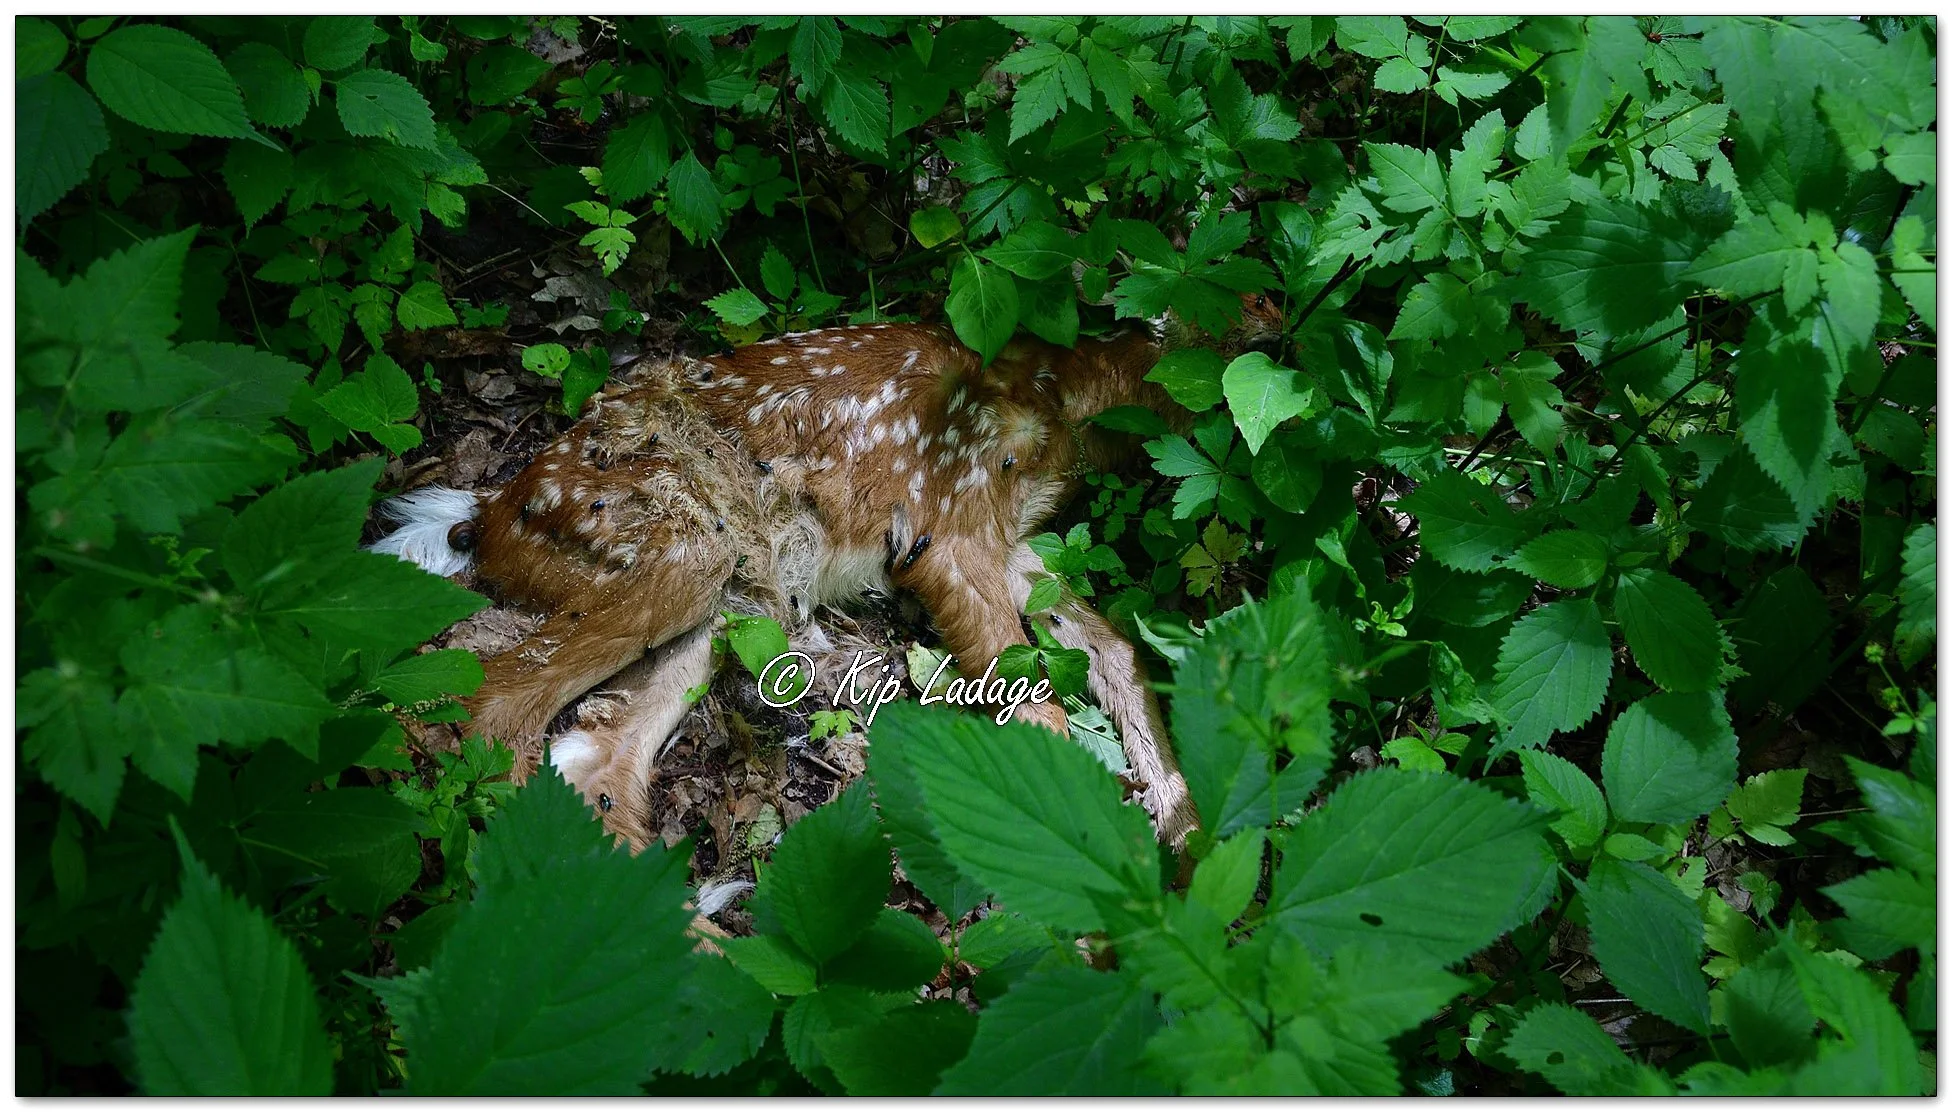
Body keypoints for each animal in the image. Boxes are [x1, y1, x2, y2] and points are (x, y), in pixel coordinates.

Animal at [370, 293, 1287, 850]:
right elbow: (1039, 708)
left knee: (594, 759)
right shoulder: (947, 525)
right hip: (680, 547)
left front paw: (1189, 841)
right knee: (492, 708)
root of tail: (486, 514)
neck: (1056, 399)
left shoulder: (1011, 539)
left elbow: (1117, 652)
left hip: (731, 600)